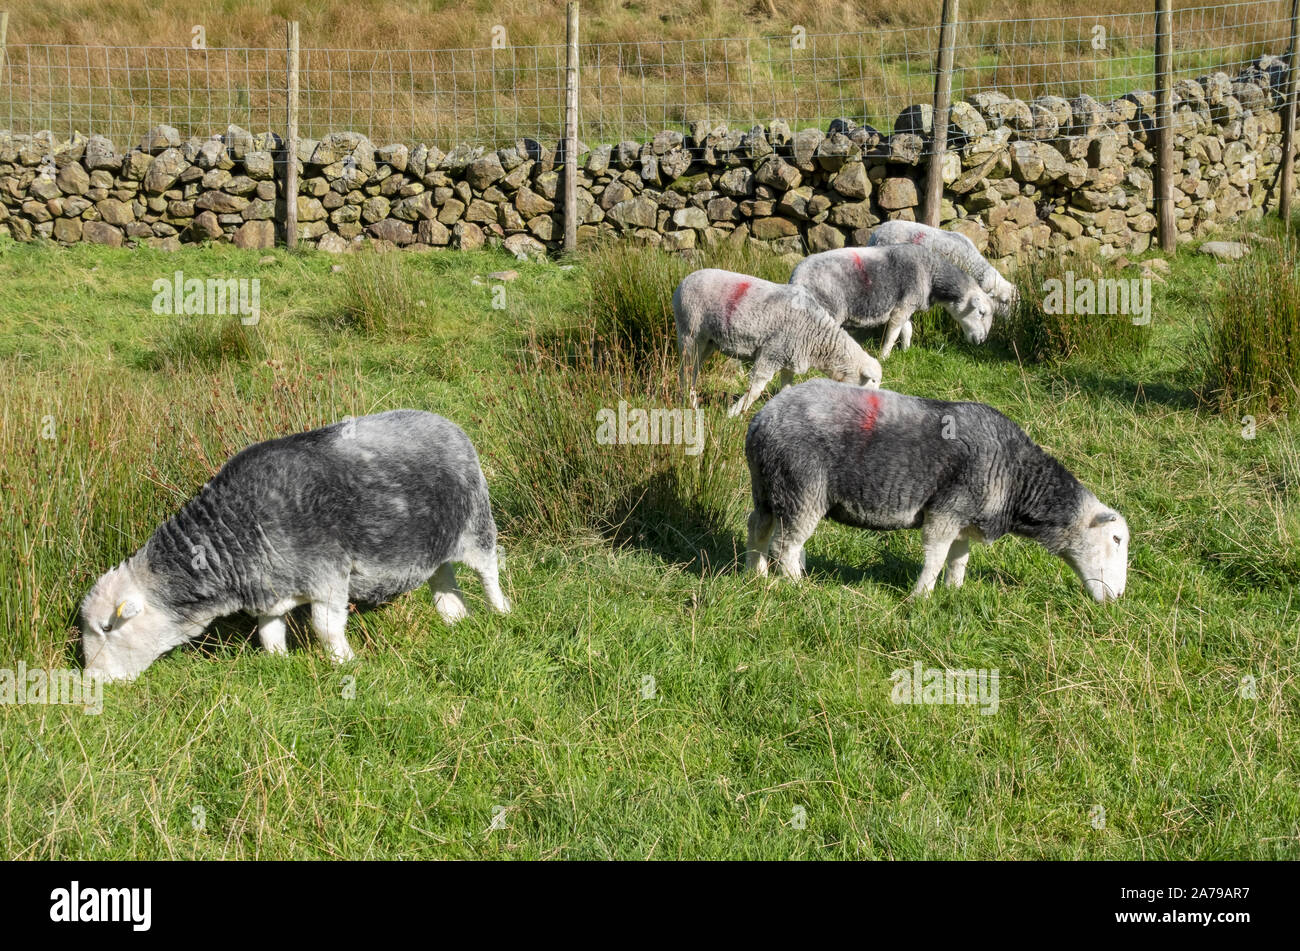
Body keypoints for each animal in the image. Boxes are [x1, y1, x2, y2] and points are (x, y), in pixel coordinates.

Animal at [79, 410, 510, 681]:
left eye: (107, 627)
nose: (93, 681)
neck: (235, 531)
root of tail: (443, 421)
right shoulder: (270, 591)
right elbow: (269, 633)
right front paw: (279, 663)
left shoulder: (328, 575)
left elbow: (325, 628)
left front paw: (345, 664)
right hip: (435, 543)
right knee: (443, 575)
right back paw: (453, 616)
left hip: (477, 524)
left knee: (489, 571)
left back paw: (501, 611)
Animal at [672, 267, 883, 417]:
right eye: (872, 382)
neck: (816, 337)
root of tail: (683, 282)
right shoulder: (771, 353)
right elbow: (755, 389)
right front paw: (732, 414)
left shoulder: (789, 358)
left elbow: (787, 388)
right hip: (689, 332)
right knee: (686, 371)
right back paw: (690, 405)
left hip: (707, 342)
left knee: (693, 370)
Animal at [744, 379, 1129, 602]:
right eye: (1116, 539)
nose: (1119, 596)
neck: (1017, 479)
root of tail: (764, 417)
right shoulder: (947, 510)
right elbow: (936, 555)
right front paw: (921, 598)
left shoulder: (965, 518)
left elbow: (959, 558)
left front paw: (953, 592)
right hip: (802, 487)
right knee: (786, 545)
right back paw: (799, 587)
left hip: (767, 485)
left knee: (758, 527)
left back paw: (756, 574)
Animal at [788, 244, 994, 360]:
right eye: (981, 312)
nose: (982, 340)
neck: (931, 273)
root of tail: (797, 277)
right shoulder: (903, 306)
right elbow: (893, 333)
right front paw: (884, 356)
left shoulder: (907, 305)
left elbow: (907, 329)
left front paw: (906, 351)